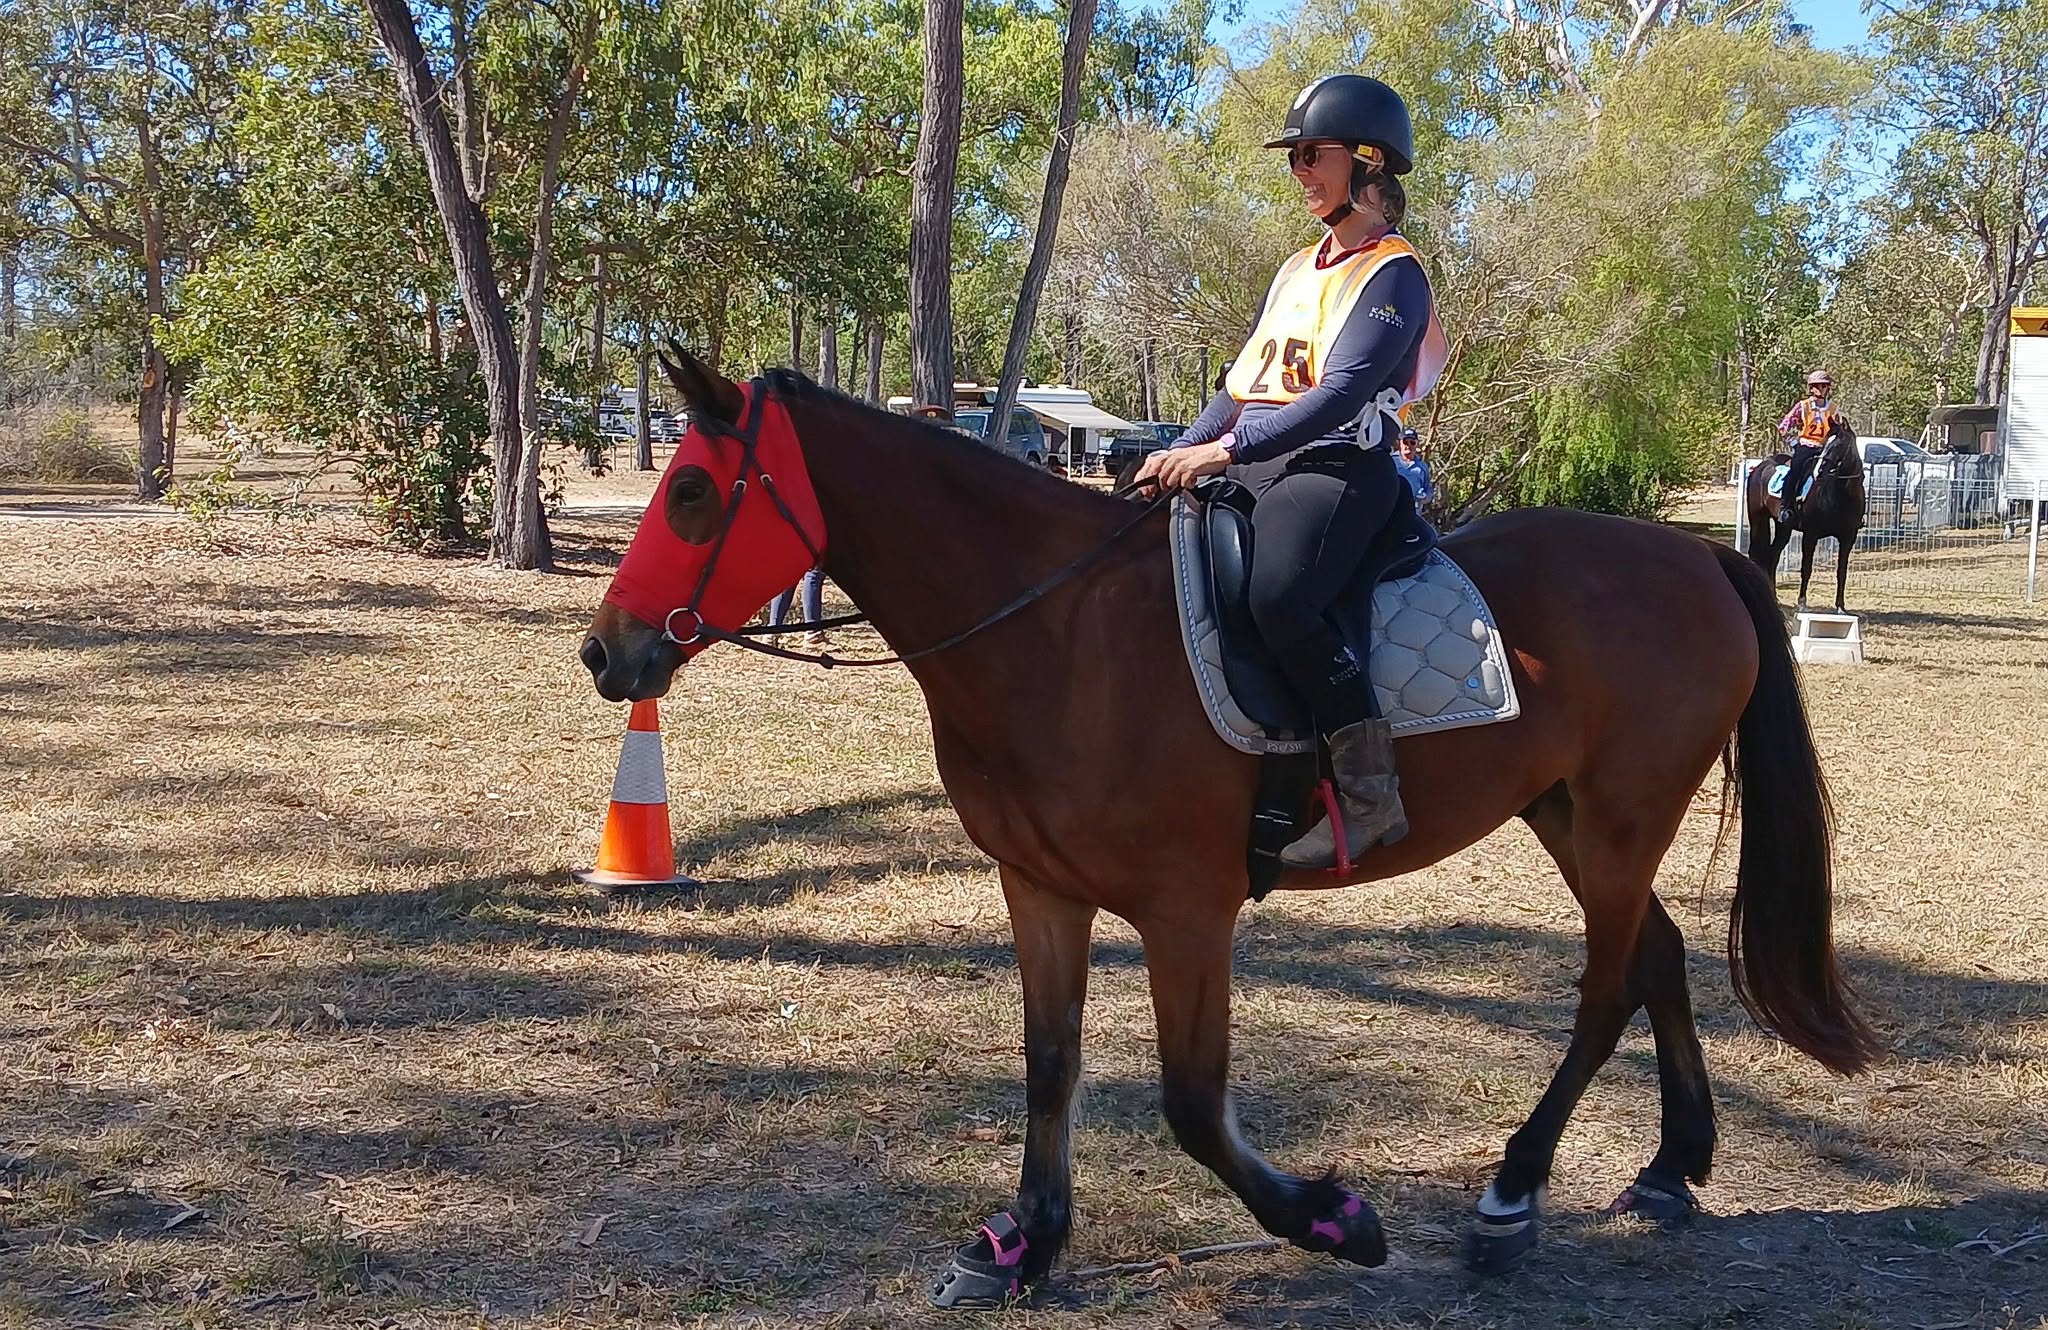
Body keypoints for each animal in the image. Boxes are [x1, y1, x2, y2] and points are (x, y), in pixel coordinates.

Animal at [1744, 417, 1866, 613]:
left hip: (1783, 527)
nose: (1819, 471)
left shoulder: (1848, 537)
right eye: (1825, 444)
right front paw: (1802, 604)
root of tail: (1760, 467)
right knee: (1756, 553)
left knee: (1773, 555)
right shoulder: (1811, 535)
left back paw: (1774, 597)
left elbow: (1842, 571)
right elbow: (1806, 569)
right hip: (1757, 518)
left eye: (1839, 444)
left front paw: (1840, 607)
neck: (1840, 494)